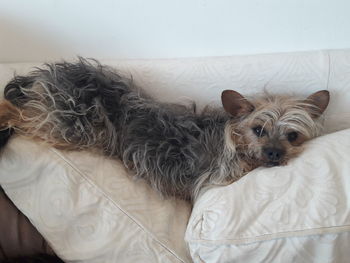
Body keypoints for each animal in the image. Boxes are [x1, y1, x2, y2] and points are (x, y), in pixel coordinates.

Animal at [0, 58, 328, 202]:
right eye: (258, 129)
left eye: (293, 135)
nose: (274, 153)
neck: (233, 141)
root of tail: (43, 77)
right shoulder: (219, 176)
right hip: (72, 125)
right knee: (20, 115)